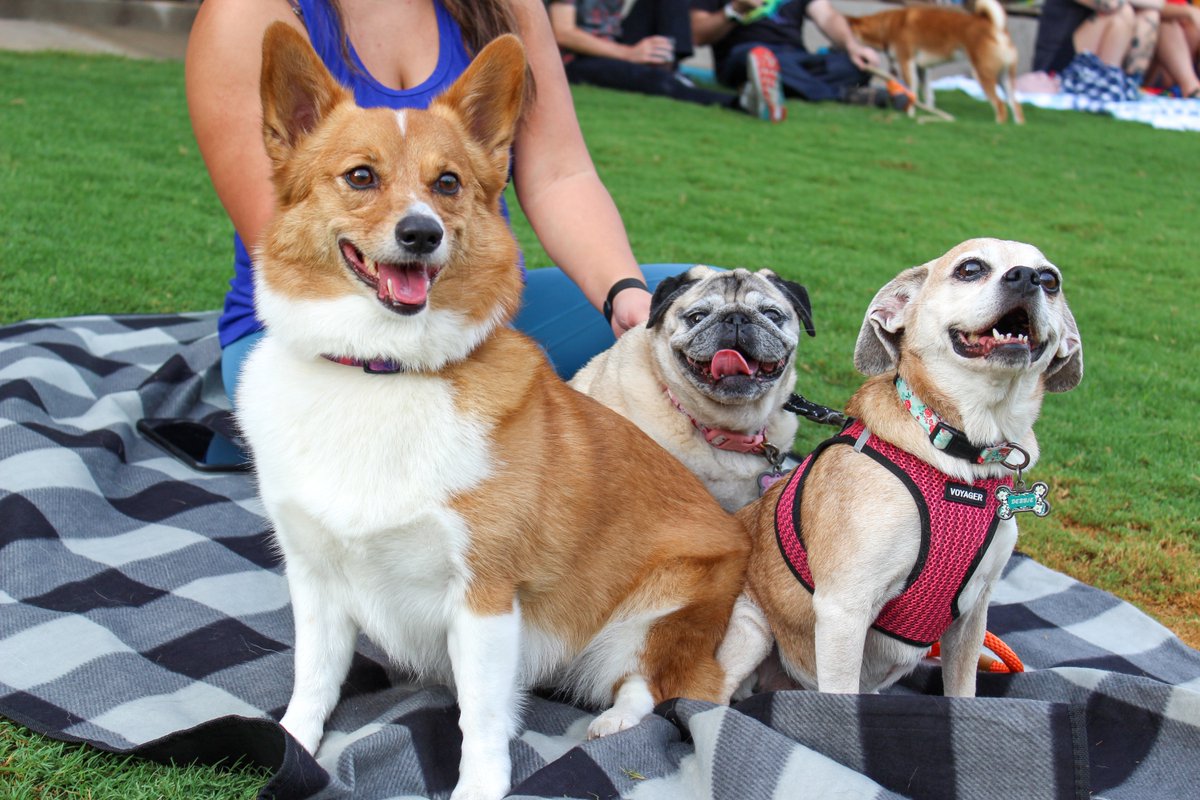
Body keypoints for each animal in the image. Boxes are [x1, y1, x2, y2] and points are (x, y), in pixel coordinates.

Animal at [235, 25, 748, 800]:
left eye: (447, 183)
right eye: (361, 176)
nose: (421, 234)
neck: (382, 371)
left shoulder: (485, 595)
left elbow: (480, 717)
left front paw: (478, 787)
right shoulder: (316, 577)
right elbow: (313, 679)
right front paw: (292, 745)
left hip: (665, 607)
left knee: (663, 686)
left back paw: (611, 725)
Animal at [715, 239, 1084, 700]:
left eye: (1051, 280)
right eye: (970, 269)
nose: (1029, 278)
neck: (963, 455)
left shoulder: (971, 618)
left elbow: (962, 695)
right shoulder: (844, 609)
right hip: (750, 632)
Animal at [849, 0, 1027, 123]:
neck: (887, 26)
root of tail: (996, 27)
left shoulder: (907, 62)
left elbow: (912, 92)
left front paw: (910, 113)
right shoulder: (922, 68)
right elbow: (928, 94)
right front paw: (927, 111)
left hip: (982, 73)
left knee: (1000, 105)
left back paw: (997, 125)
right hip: (1005, 78)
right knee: (1015, 105)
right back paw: (1018, 127)